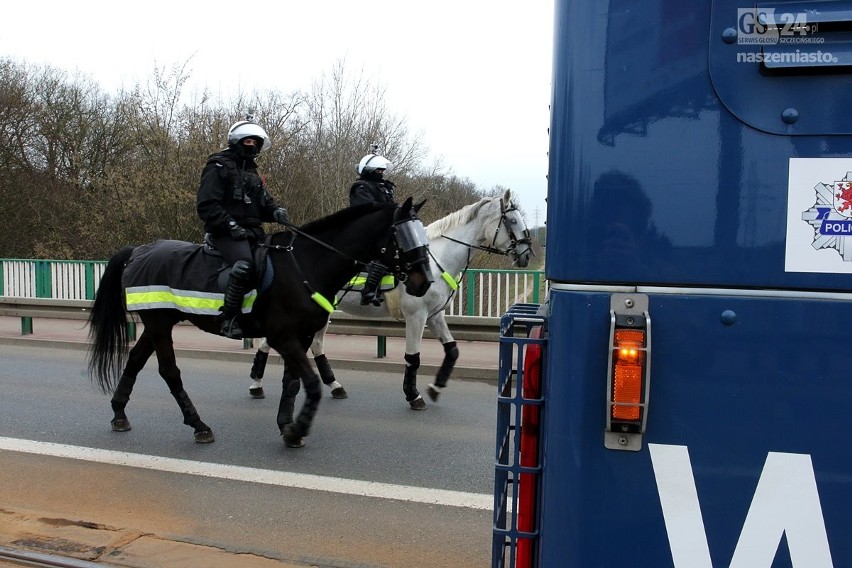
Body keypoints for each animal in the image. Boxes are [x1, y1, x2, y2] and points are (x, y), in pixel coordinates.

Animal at [87, 199, 432, 448]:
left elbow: (293, 382)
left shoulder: (302, 336)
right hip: (160, 324)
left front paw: (286, 424)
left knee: (135, 359)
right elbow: (310, 382)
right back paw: (199, 425)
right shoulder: (283, 336)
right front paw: (297, 428)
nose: (424, 282)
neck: (306, 265)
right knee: (169, 372)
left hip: (158, 322)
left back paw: (119, 413)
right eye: (402, 235)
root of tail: (140, 250)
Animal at [245, 189, 532, 410]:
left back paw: (334, 385)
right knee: (273, 344)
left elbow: (452, 350)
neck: (436, 260)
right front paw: (414, 396)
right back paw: (256, 384)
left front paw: (436, 387)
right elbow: (413, 357)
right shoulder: (416, 317)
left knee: (315, 346)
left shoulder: (435, 316)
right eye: (512, 220)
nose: (527, 254)